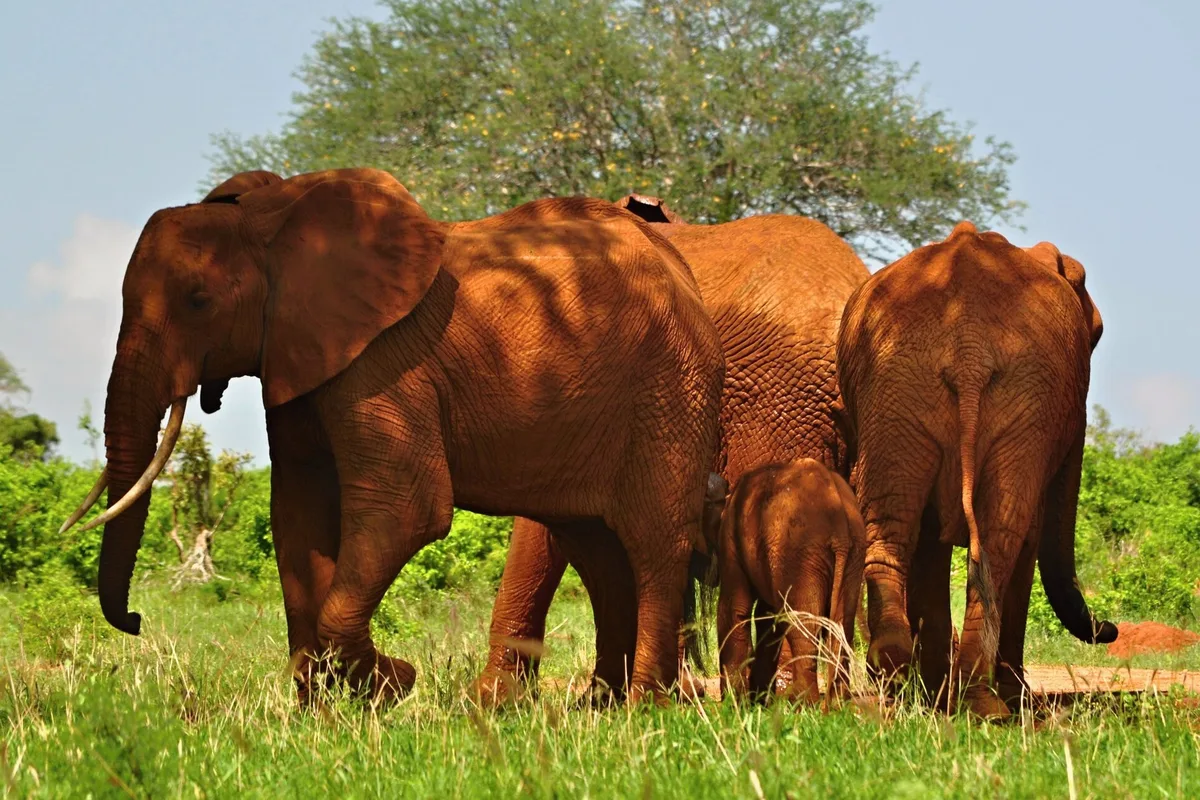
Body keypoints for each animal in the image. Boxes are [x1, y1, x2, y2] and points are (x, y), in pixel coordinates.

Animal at [58, 167, 726, 706]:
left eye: (199, 301)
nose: (136, 619)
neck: (274, 222)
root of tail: (683, 272)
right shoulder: (300, 357)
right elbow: (297, 517)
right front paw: (326, 715)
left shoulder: (382, 361)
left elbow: (405, 510)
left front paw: (390, 686)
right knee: (596, 549)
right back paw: (603, 709)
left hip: (670, 389)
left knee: (651, 542)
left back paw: (644, 708)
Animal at [713, 459, 865, 705]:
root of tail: (840, 526)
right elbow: (767, 618)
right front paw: (757, 701)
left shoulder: (730, 536)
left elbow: (735, 608)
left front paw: (736, 703)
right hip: (851, 552)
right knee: (842, 625)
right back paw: (836, 704)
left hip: (800, 553)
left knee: (802, 625)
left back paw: (802, 702)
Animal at [835, 220, 1117, 718]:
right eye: (1095, 337)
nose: (1110, 629)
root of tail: (968, 347)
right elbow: (1025, 538)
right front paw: (1005, 697)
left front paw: (932, 694)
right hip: (1008, 391)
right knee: (1003, 534)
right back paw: (986, 703)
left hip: (897, 384)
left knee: (895, 521)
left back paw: (902, 674)